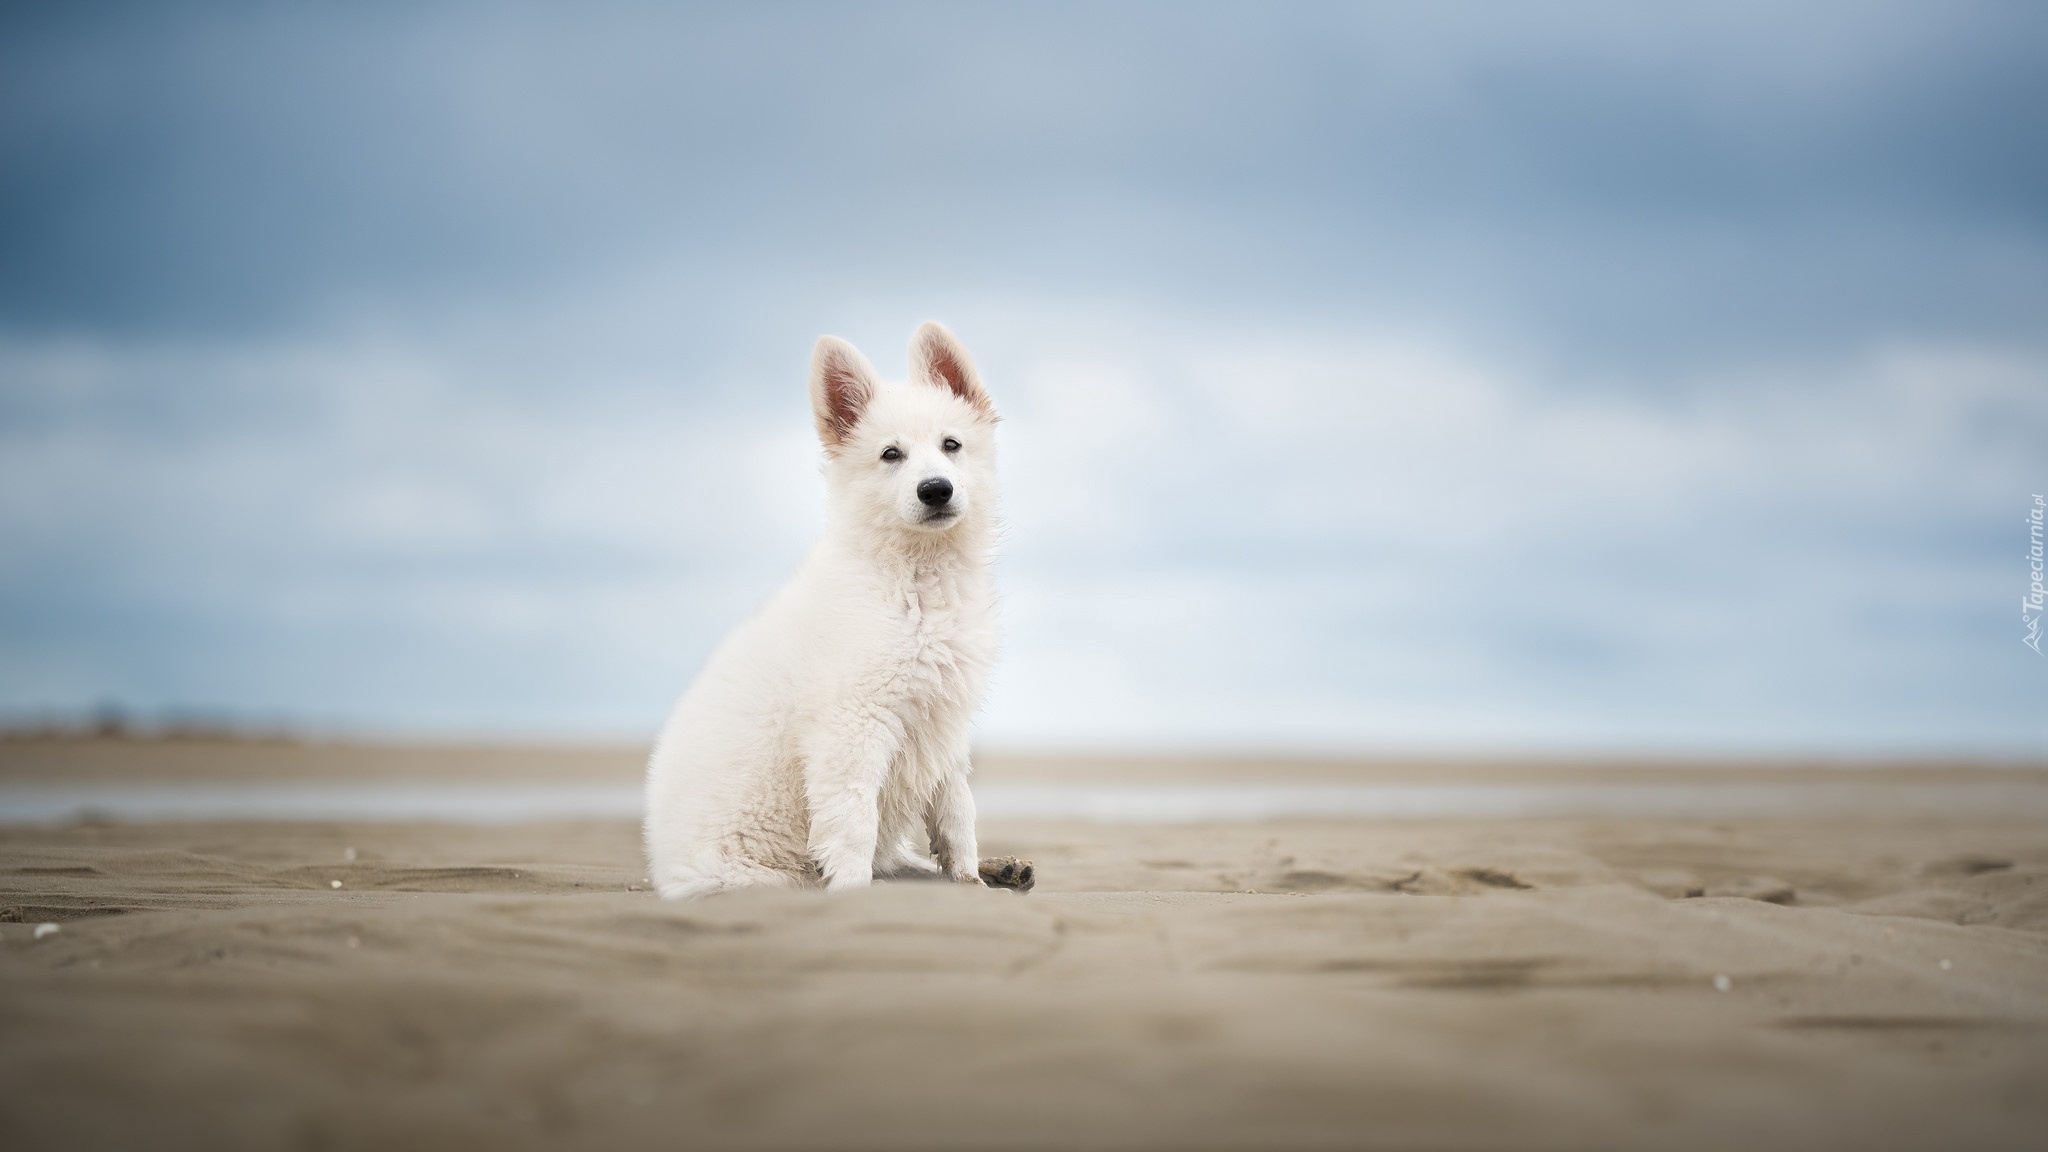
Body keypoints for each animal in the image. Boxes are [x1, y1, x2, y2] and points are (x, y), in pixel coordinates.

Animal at [634, 323, 995, 897]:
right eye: (890, 454)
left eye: (951, 444)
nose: (936, 490)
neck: (914, 579)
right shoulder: (852, 725)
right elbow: (854, 821)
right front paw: (850, 892)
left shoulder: (944, 721)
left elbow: (957, 812)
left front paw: (969, 880)